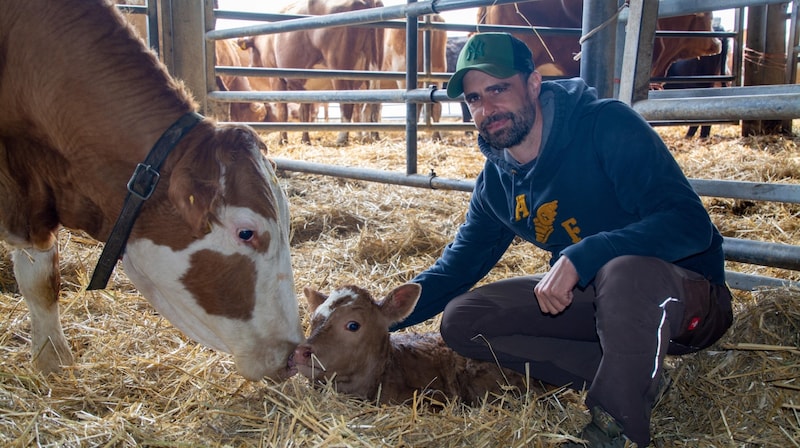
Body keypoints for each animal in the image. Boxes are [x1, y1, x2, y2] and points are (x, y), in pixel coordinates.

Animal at [0, 0, 304, 382]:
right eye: (246, 232)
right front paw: (52, 361)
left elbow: (41, 279)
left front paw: (52, 362)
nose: (294, 354)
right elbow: (38, 282)